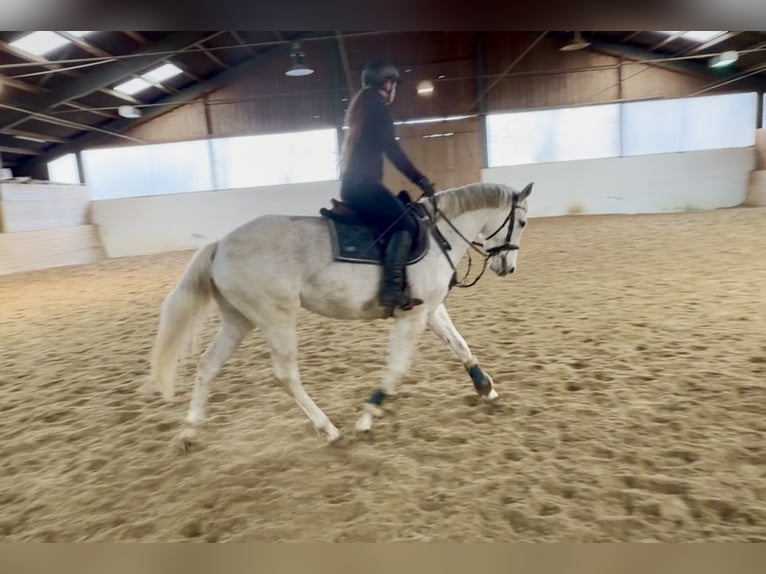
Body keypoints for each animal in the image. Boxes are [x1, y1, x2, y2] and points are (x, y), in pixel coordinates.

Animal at [146, 181, 532, 445]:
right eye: (523, 223)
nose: (508, 267)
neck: (439, 237)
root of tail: (220, 245)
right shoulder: (411, 317)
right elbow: (397, 368)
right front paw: (366, 417)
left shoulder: (431, 309)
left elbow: (460, 345)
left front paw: (486, 389)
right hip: (276, 317)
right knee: (285, 375)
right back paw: (328, 429)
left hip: (238, 320)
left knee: (208, 365)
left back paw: (190, 430)